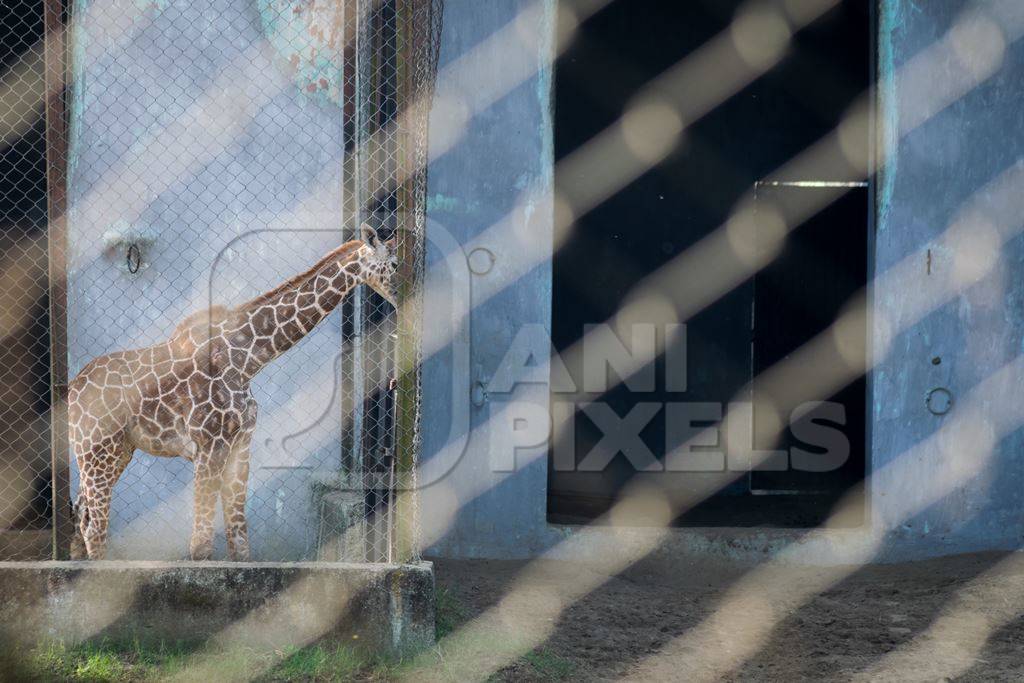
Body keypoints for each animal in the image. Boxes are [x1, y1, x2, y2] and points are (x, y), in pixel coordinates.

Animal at [68, 225, 399, 561]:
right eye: (395, 264)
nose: (404, 298)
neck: (247, 361)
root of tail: (72, 390)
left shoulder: (241, 442)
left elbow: (239, 536)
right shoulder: (209, 443)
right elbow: (201, 544)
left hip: (112, 451)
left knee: (81, 514)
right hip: (100, 450)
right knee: (94, 526)